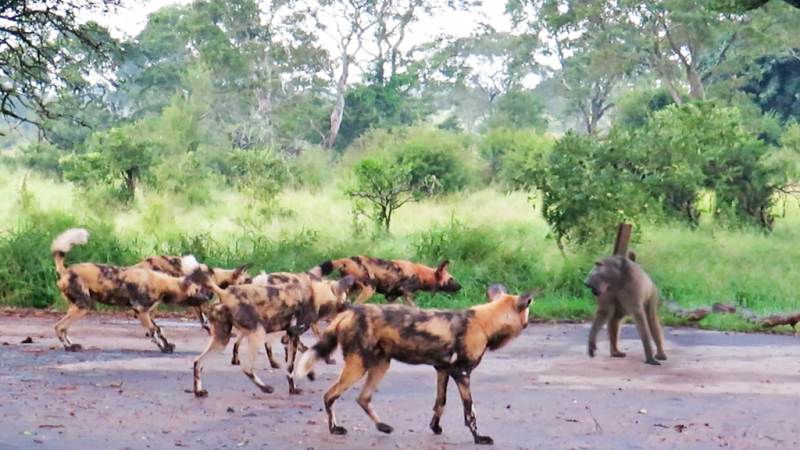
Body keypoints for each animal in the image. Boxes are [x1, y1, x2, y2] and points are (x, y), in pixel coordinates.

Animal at [49, 230, 212, 354]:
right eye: (199, 289)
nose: (210, 296)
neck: (163, 283)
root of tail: (66, 271)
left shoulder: (143, 312)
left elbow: (157, 329)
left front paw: (166, 345)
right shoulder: (141, 310)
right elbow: (153, 331)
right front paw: (164, 349)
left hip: (77, 307)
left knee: (63, 328)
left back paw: (72, 345)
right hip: (82, 307)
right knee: (58, 326)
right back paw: (69, 347)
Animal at [191, 274, 354, 398]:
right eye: (345, 298)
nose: (351, 308)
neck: (317, 294)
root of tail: (225, 293)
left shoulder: (289, 336)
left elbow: (303, 355)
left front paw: (306, 376)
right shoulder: (293, 334)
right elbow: (291, 367)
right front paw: (296, 386)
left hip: (221, 341)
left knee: (198, 362)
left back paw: (198, 391)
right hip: (258, 332)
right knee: (247, 367)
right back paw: (266, 388)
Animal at [294, 284, 544, 444]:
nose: (529, 322)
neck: (484, 324)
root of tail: (347, 313)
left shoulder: (443, 370)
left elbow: (440, 403)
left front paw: (435, 427)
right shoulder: (462, 374)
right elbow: (470, 412)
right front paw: (479, 438)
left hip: (381, 365)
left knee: (363, 398)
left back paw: (382, 426)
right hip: (358, 367)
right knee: (329, 395)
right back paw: (335, 429)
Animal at [312, 255, 462, 308]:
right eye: (451, 279)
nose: (460, 287)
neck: (422, 275)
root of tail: (349, 259)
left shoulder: (391, 296)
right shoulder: (406, 294)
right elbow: (414, 306)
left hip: (352, 289)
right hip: (368, 290)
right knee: (354, 304)